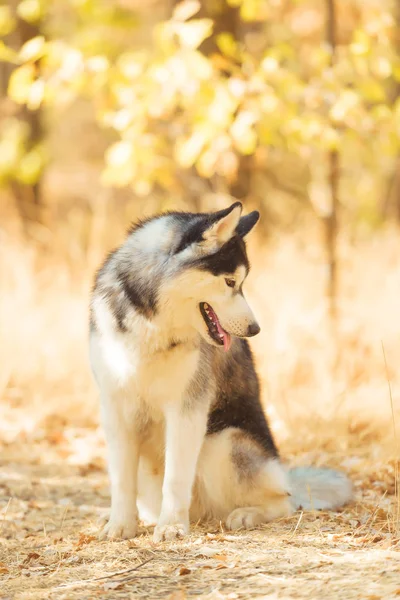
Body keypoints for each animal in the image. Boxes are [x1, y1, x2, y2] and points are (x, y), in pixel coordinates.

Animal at [89, 204, 352, 540]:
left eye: (242, 283)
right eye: (229, 282)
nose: (255, 329)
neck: (152, 324)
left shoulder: (187, 409)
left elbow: (176, 478)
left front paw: (171, 526)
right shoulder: (116, 407)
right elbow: (122, 479)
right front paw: (120, 524)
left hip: (223, 443)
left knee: (285, 501)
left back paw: (246, 514)